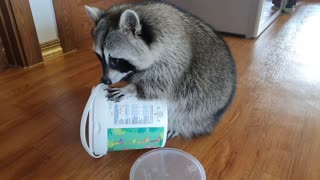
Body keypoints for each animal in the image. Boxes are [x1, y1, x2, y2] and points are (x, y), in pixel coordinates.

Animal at [86, 1, 236, 138]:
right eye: (99, 57)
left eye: (115, 60)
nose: (105, 80)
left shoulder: (175, 55)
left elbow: (162, 84)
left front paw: (131, 88)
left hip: (205, 107)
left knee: (187, 111)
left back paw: (177, 125)